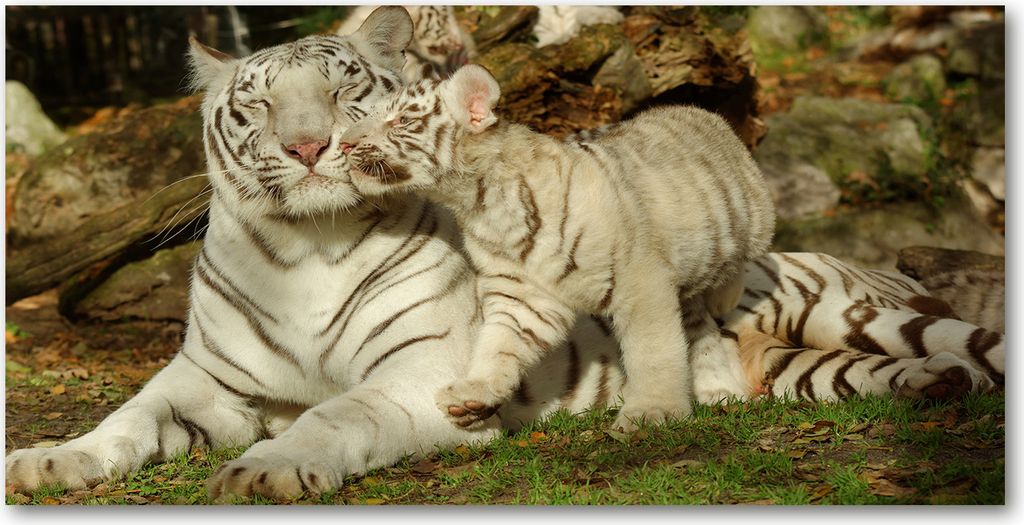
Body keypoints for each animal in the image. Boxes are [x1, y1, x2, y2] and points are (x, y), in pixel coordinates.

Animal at [339, 64, 776, 431]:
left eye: (402, 120)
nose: (343, 143)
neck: (480, 203)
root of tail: (700, 111)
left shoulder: (641, 282)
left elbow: (653, 351)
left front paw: (652, 412)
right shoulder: (522, 294)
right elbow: (498, 345)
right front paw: (474, 394)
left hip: (753, 215)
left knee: (738, 263)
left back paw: (725, 297)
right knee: (699, 329)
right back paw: (719, 389)